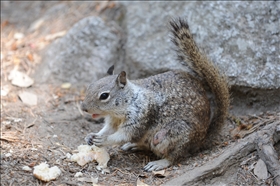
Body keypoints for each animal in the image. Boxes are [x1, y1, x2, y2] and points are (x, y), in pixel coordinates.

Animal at [81, 18, 230, 171]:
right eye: (90, 85)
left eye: (104, 96)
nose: (83, 108)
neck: (126, 104)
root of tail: (201, 140)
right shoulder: (113, 120)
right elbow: (108, 129)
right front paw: (91, 136)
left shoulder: (140, 117)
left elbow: (123, 135)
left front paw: (104, 139)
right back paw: (133, 145)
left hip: (173, 134)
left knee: (176, 156)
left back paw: (158, 163)